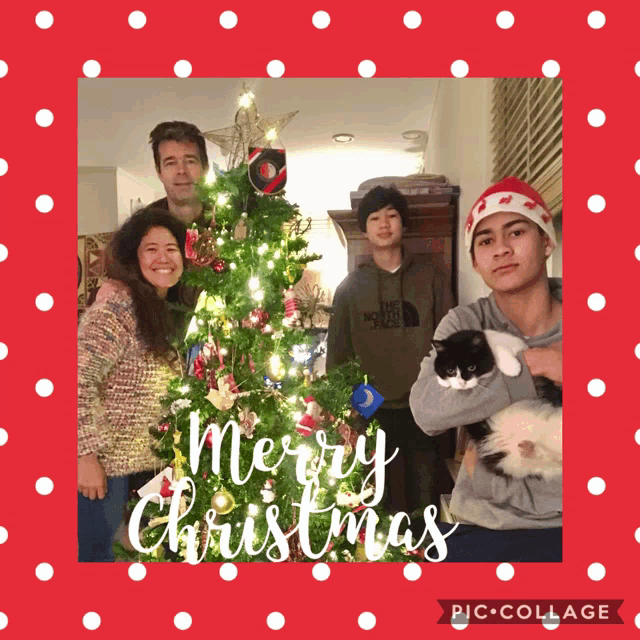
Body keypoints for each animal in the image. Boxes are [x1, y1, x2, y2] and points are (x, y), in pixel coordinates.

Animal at [432, 332, 564, 478]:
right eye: (450, 370)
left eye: (471, 367)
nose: (462, 383)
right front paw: (444, 381)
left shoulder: (514, 343)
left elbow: (500, 349)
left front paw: (512, 368)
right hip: (512, 462)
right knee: (541, 458)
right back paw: (528, 449)